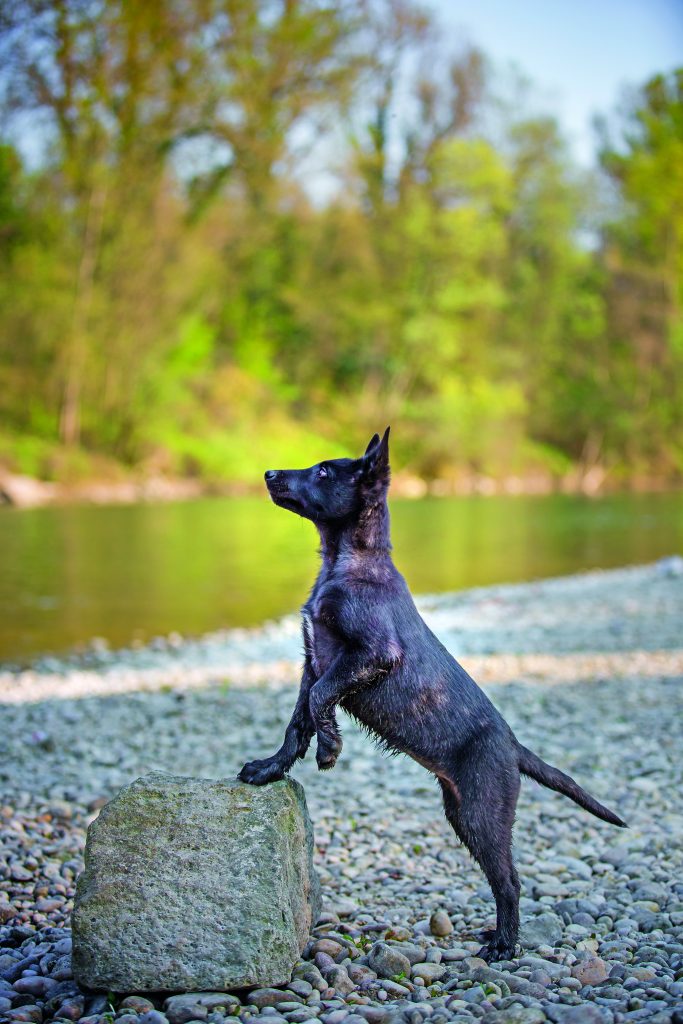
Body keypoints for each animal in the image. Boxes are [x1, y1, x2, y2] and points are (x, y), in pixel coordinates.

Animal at [237, 430, 626, 958]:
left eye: (323, 471)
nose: (269, 474)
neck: (345, 563)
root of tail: (514, 748)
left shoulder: (372, 653)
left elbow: (320, 701)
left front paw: (330, 747)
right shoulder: (311, 660)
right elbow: (297, 721)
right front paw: (268, 769)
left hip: (483, 813)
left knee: (509, 881)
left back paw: (504, 944)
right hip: (461, 810)